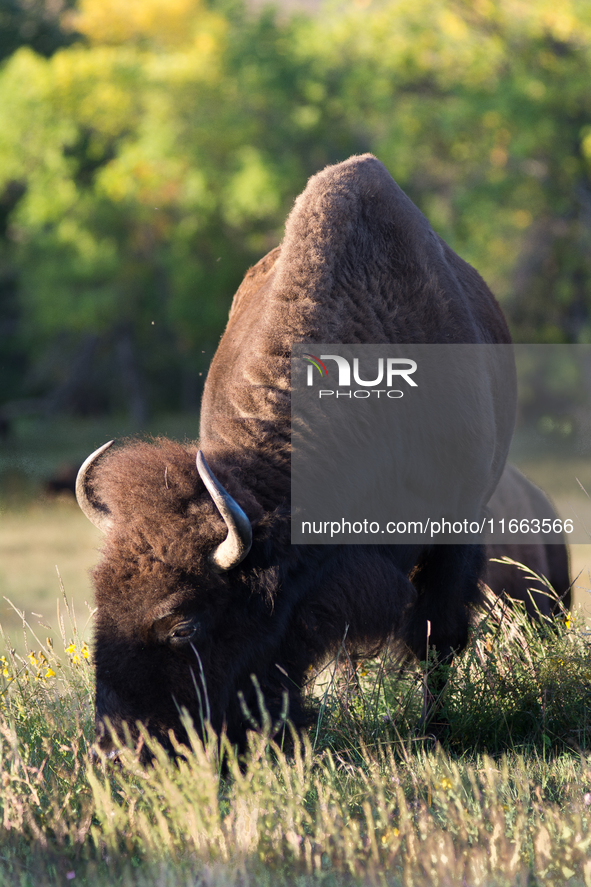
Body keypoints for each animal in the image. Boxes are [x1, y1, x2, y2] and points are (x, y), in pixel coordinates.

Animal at [76, 154, 516, 756]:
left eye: (184, 625)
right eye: (100, 602)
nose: (117, 748)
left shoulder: (458, 527)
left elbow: (438, 637)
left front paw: (434, 736)